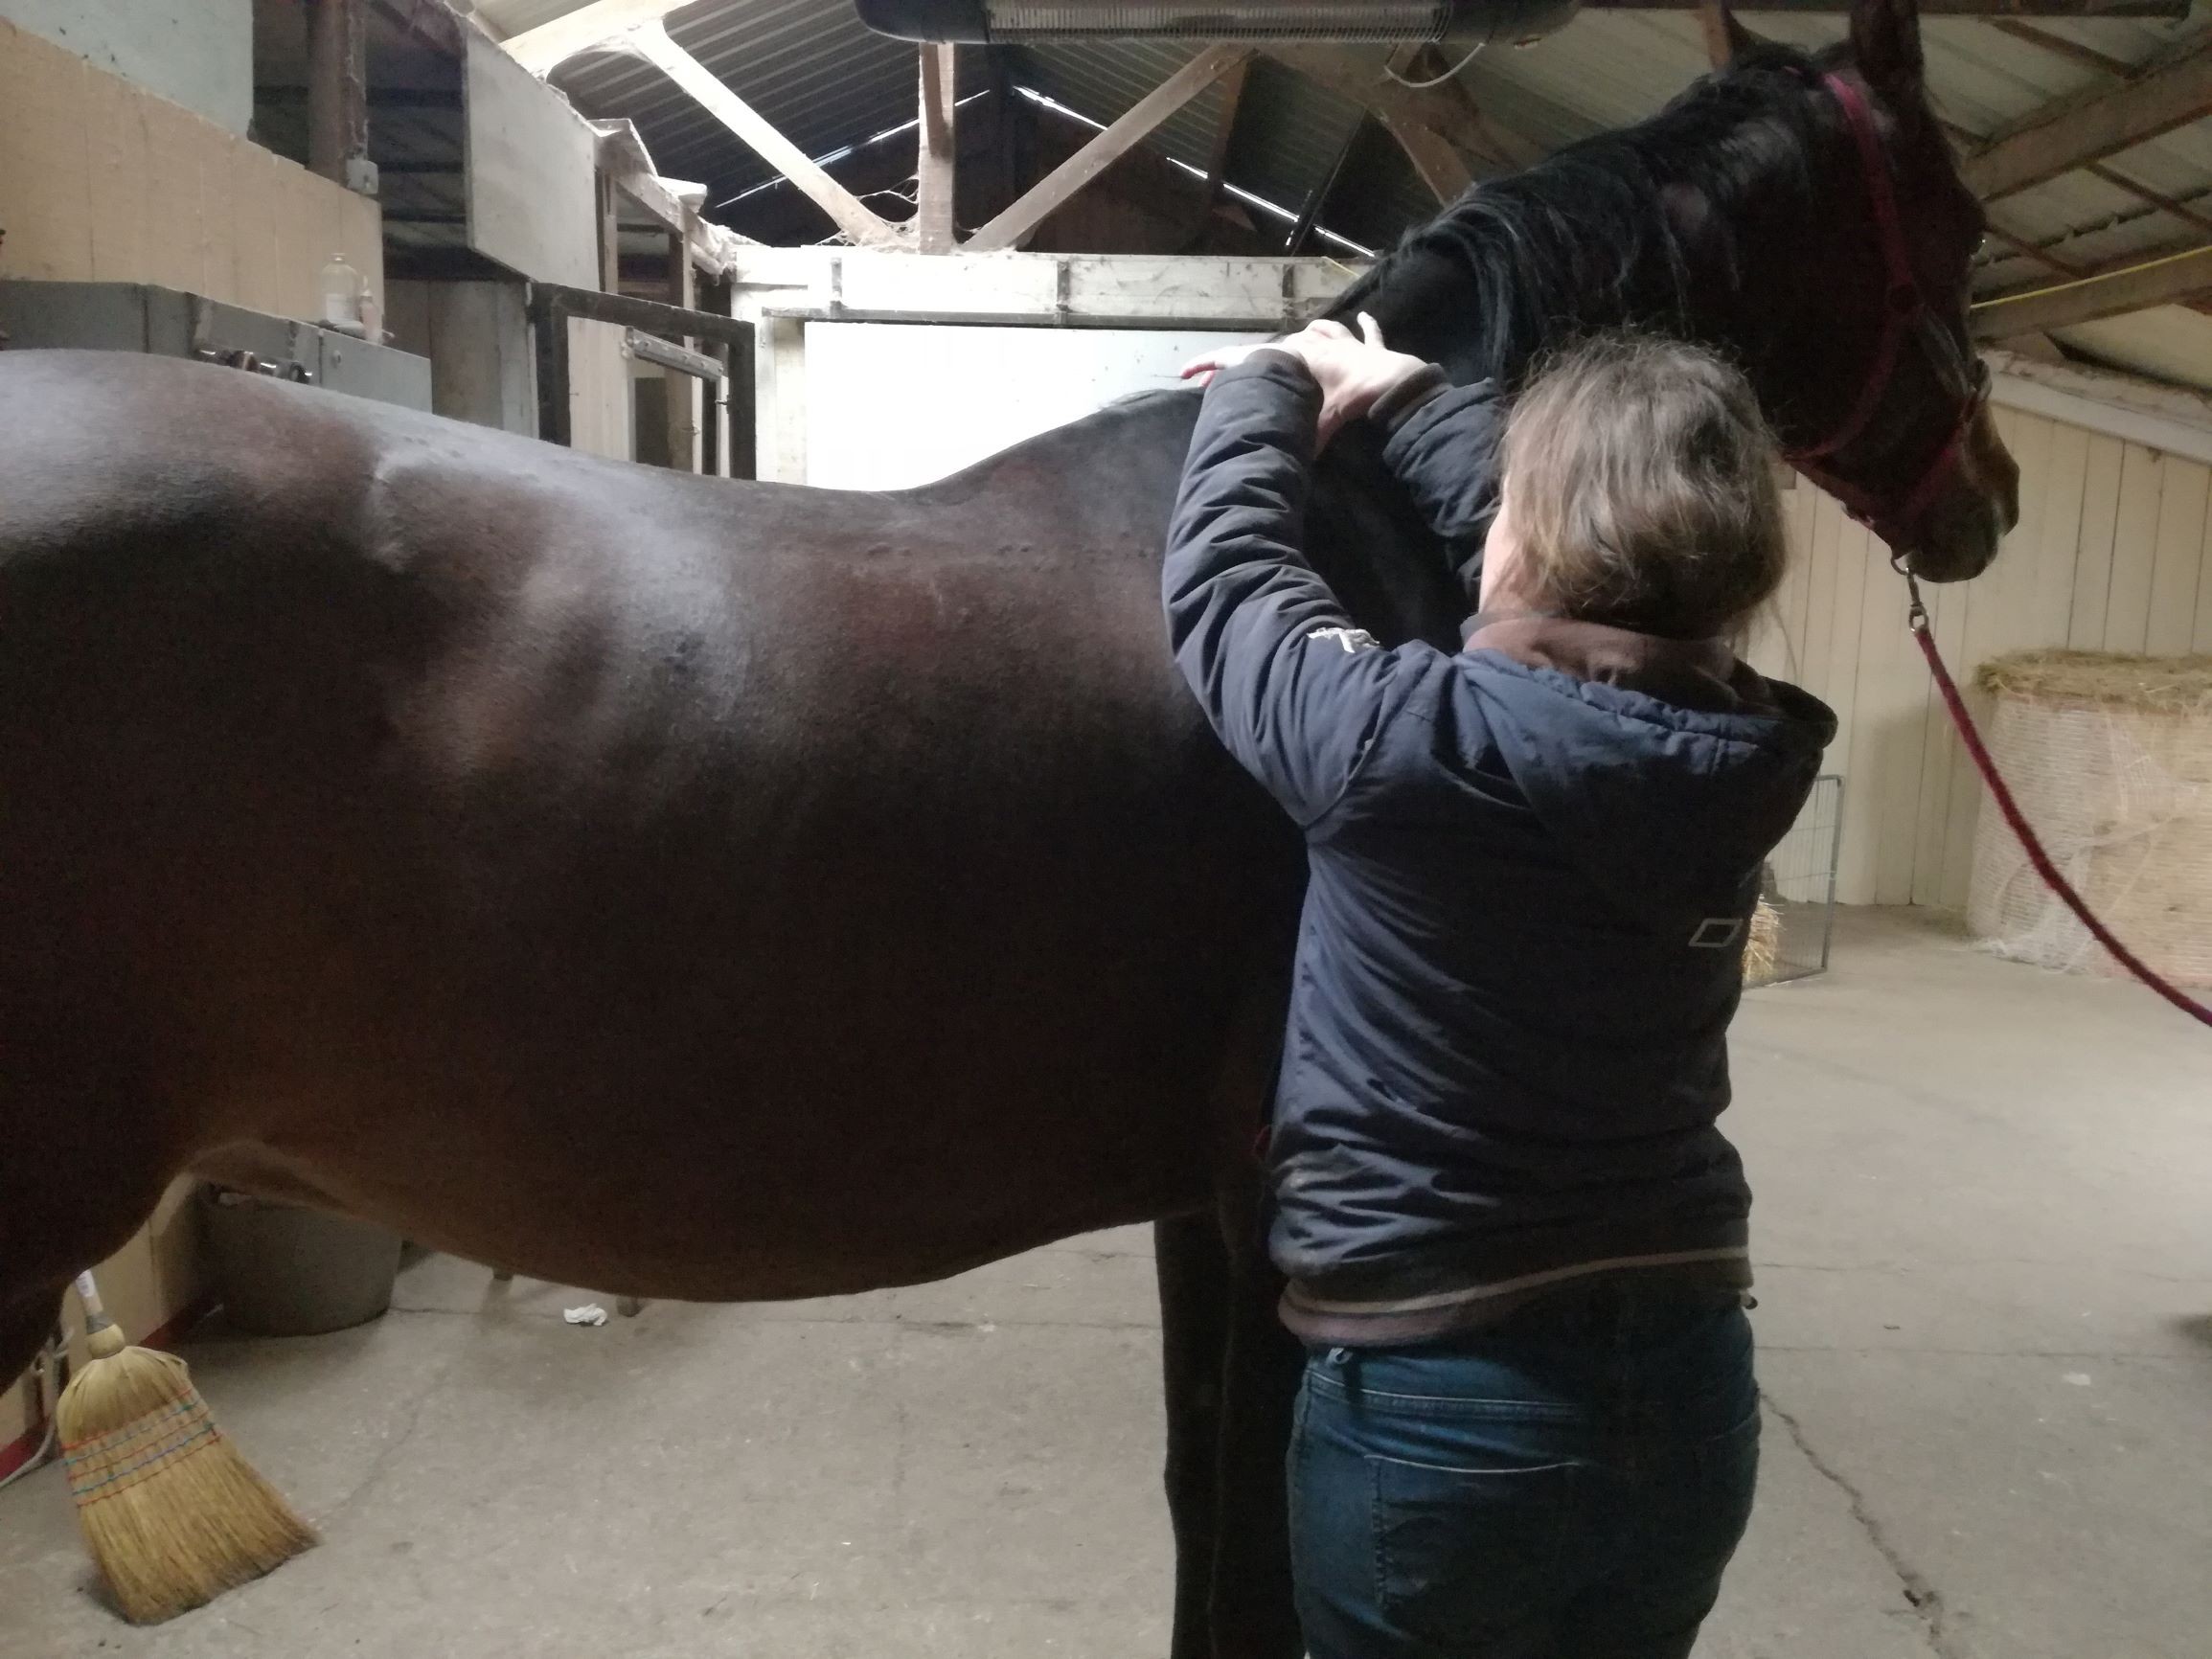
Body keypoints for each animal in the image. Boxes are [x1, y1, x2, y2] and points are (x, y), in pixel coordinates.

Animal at [0, 3, 2008, 1654]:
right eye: (1961, 228)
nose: (1984, 500)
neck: (1352, 529)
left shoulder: (1207, 1204)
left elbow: (1206, 1516)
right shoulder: (1276, 1204)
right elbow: (1254, 1546)